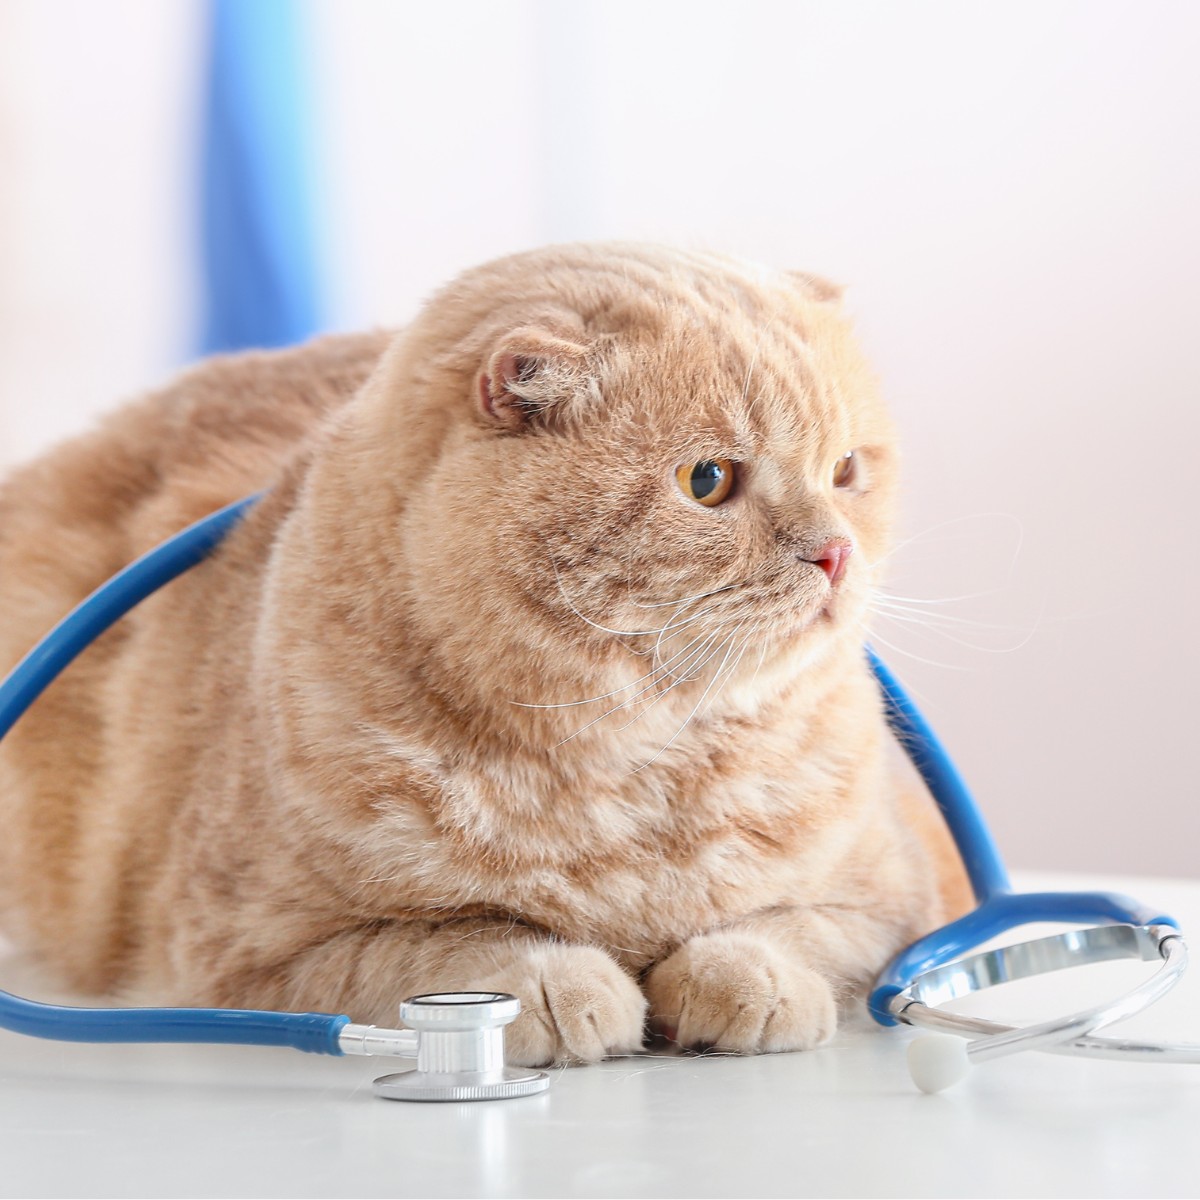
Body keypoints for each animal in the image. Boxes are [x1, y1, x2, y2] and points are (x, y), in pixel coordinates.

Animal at [0, 241, 969, 1060]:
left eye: (847, 471)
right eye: (708, 482)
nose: (834, 553)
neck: (632, 775)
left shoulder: (900, 901)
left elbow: (797, 929)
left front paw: (744, 977)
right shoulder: (256, 949)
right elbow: (452, 943)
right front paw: (555, 983)